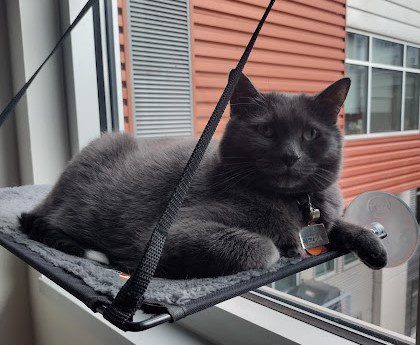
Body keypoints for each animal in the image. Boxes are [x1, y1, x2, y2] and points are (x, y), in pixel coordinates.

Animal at [18, 72, 388, 276]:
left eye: (311, 134)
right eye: (267, 130)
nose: (290, 156)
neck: (294, 202)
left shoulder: (324, 213)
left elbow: (336, 224)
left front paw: (371, 245)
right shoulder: (166, 231)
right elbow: (263, 248)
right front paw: (286, 248)